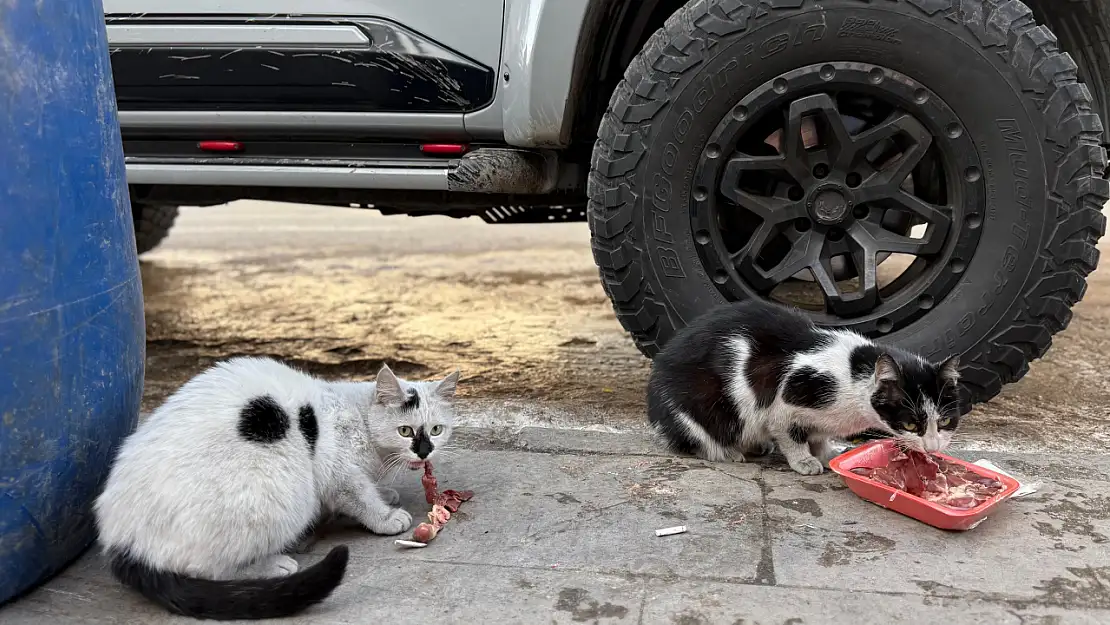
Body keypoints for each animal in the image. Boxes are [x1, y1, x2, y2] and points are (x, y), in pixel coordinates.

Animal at [94, 357, 459, 621]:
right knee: (206, 567)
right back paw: (273, 566)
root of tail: (120, 541)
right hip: (283, 490)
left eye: (436, 430)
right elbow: (358, 495)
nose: (424, 451)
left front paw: (386, 495)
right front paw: (385, 516)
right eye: (405, 431)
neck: (361, 421)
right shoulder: (337, 472)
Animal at [648, 299, 959, 477]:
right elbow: (789, 434)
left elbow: (819, 435)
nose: (932, 447)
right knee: (698, 440)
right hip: (700, 409)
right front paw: (804, 461)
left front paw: (826, 452)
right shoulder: (788, 397)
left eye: (945, 421)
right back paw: (729, 452)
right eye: (910, 425)